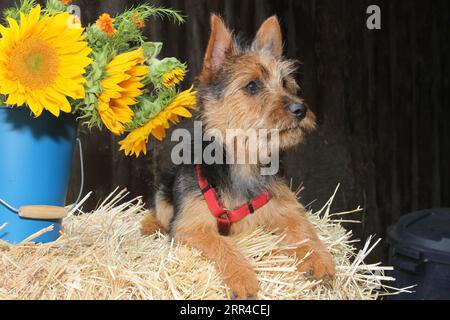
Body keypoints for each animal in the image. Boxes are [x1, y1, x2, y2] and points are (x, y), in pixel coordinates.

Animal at [142, 13, 336, 298]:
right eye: (252, 86)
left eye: (285, 84)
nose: (301, 109)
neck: (244, 161)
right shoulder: (192, 227)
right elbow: (221, 245)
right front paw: (243, 277)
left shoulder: (284, 207)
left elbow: (302, 228)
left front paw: (318, 258)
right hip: (166, 189)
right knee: (157, 209)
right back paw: (150, 226)